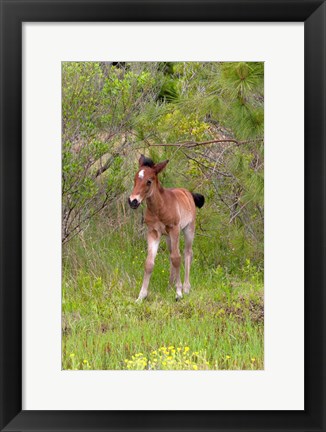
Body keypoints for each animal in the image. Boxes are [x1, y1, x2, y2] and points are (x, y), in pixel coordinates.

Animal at [127, 154, 204, 300]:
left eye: (149, 181)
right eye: (134, 179)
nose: (133, 201)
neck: (159, 208)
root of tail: (188, 193)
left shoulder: (174, 229)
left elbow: (177, 258)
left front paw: (179, 292)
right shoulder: (153, 232)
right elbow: (149, 263)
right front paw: (141, 296)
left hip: (188, 229)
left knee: (187, 253)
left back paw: (186, 287)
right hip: (168, 237)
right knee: (171, 255)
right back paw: (170, 286)